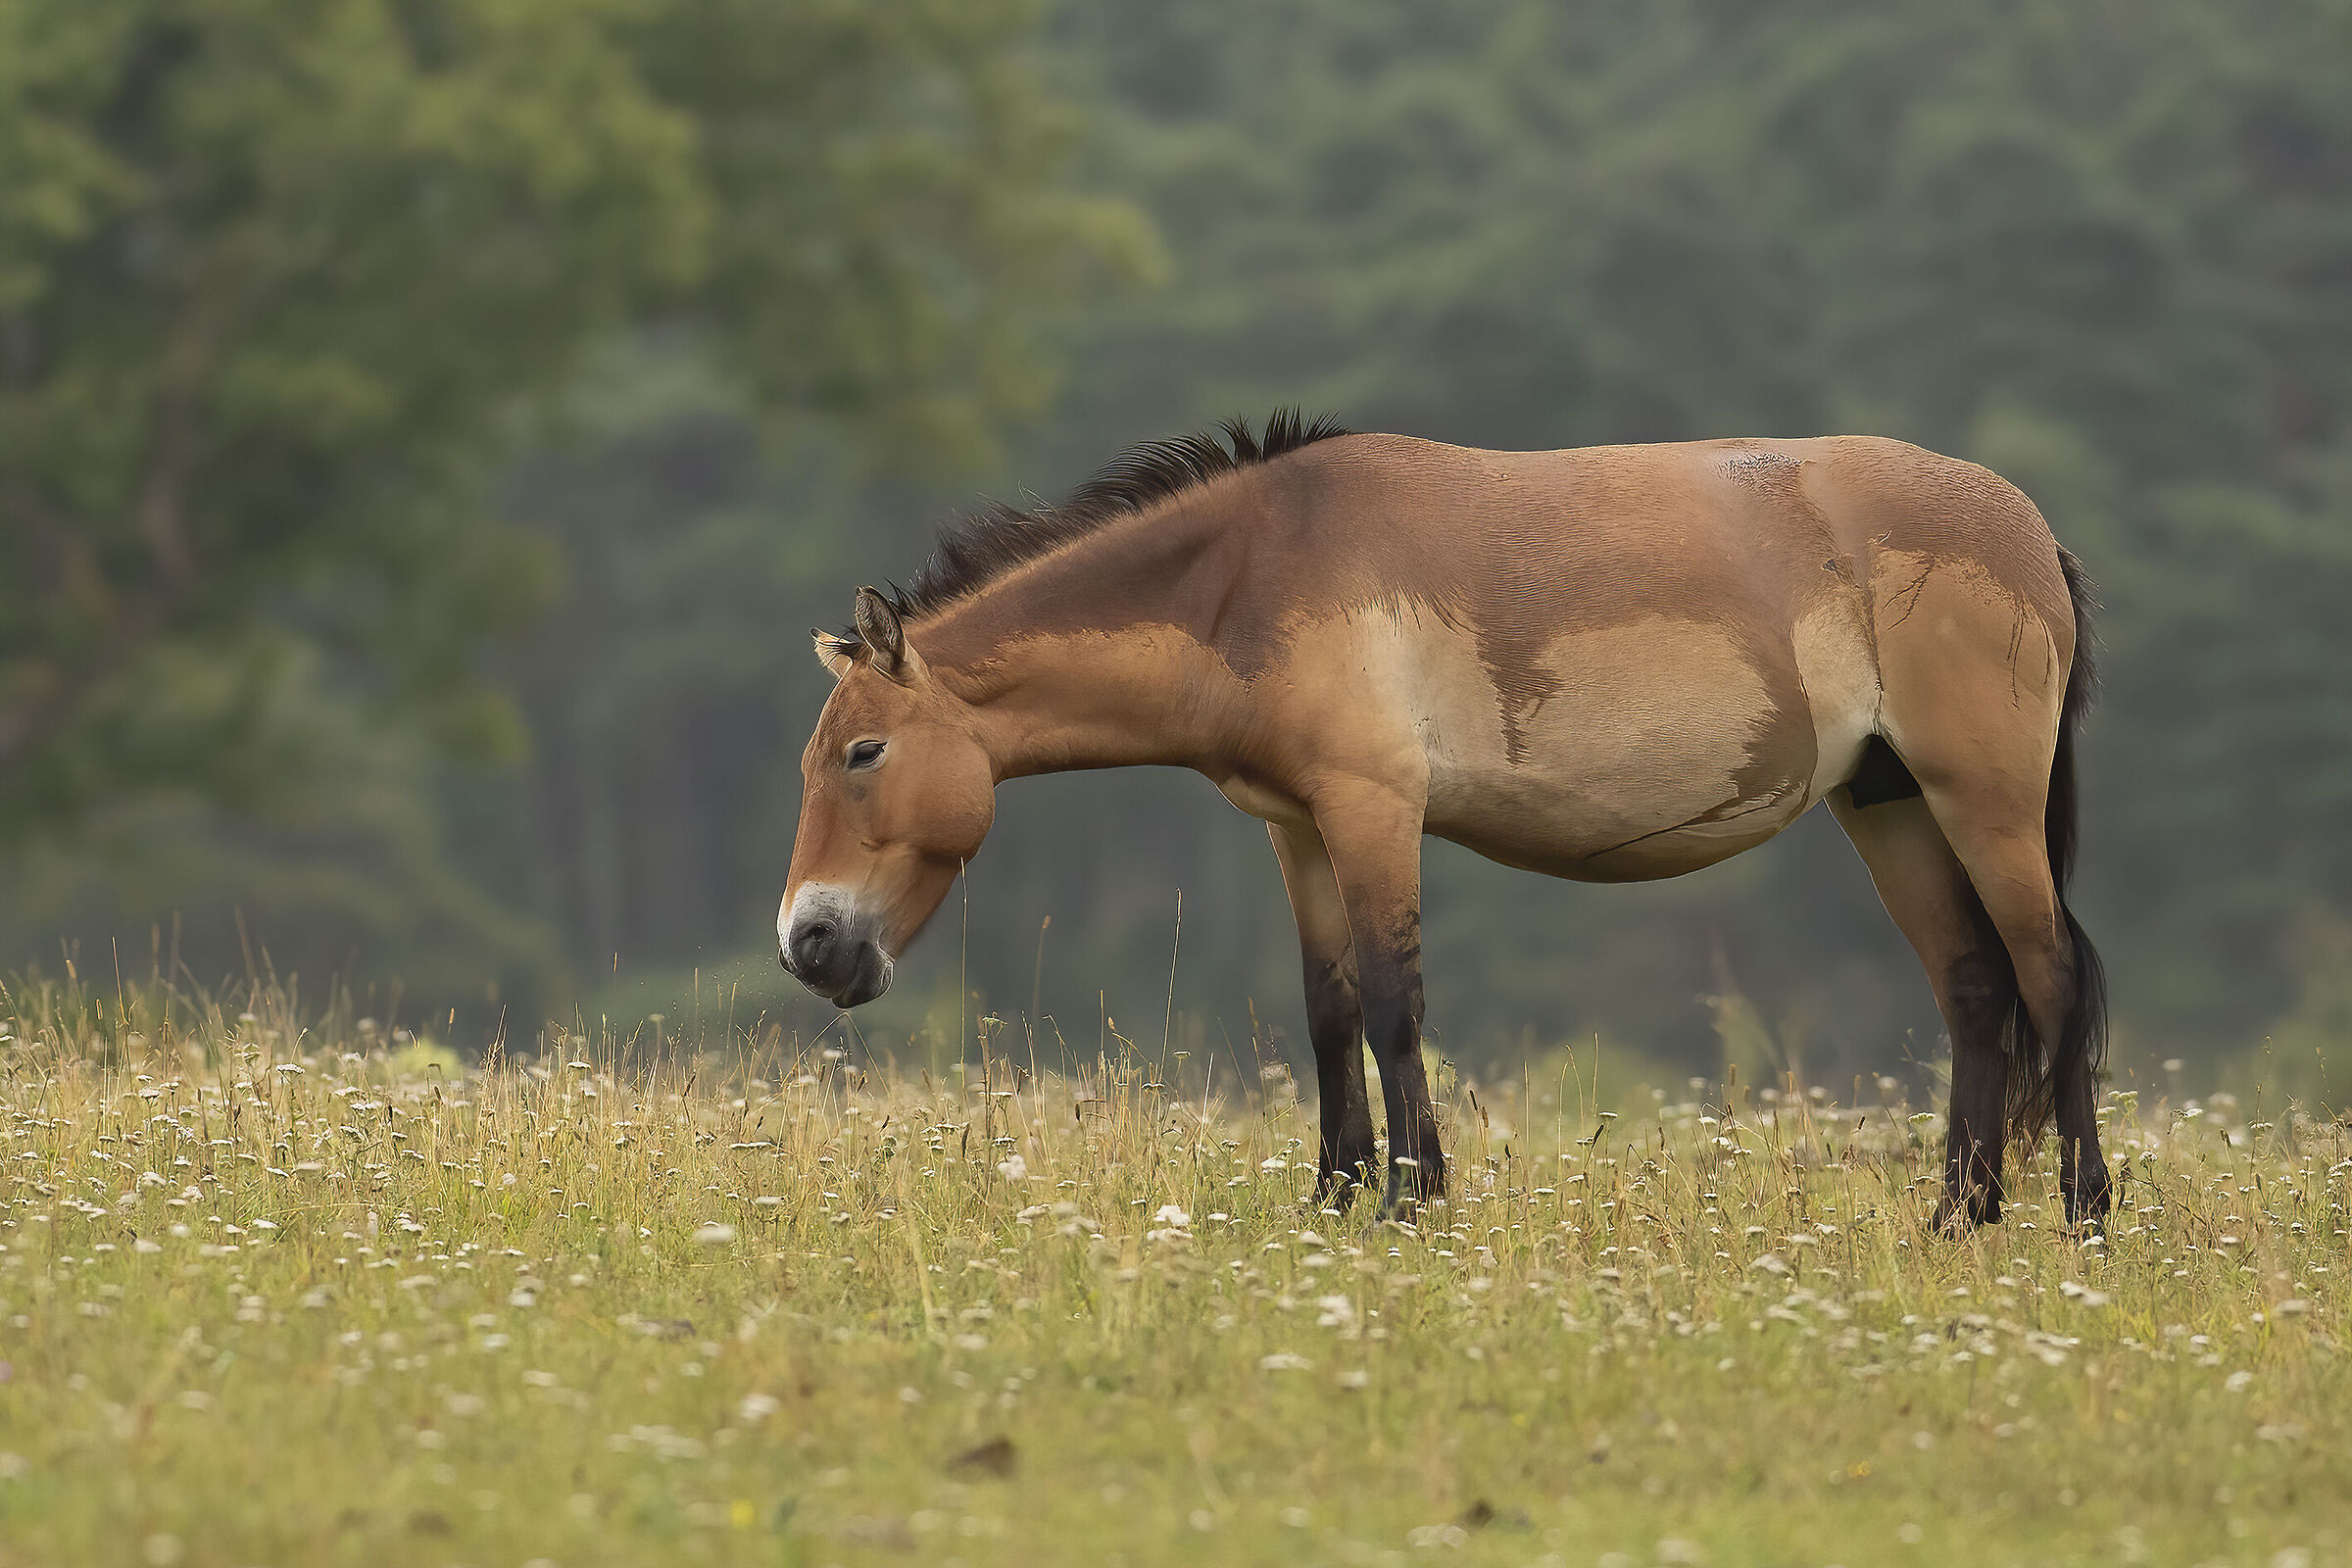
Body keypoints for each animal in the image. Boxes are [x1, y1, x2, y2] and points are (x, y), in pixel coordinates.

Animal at [778, 413, 2110, 1229]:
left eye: (862, 752)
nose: (809, 942)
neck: (1251, 575)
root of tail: (2030, 528)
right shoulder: (1300, 827)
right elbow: (1327, 1012)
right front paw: (1333, 1197)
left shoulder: (1374, 810)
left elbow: (1391, 1000)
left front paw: (1413, 1199)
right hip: (1891, 809)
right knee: (1974, 990)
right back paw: (1957, 1217)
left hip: (1980, 802)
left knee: (2049, 976)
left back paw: (2087, 1215)